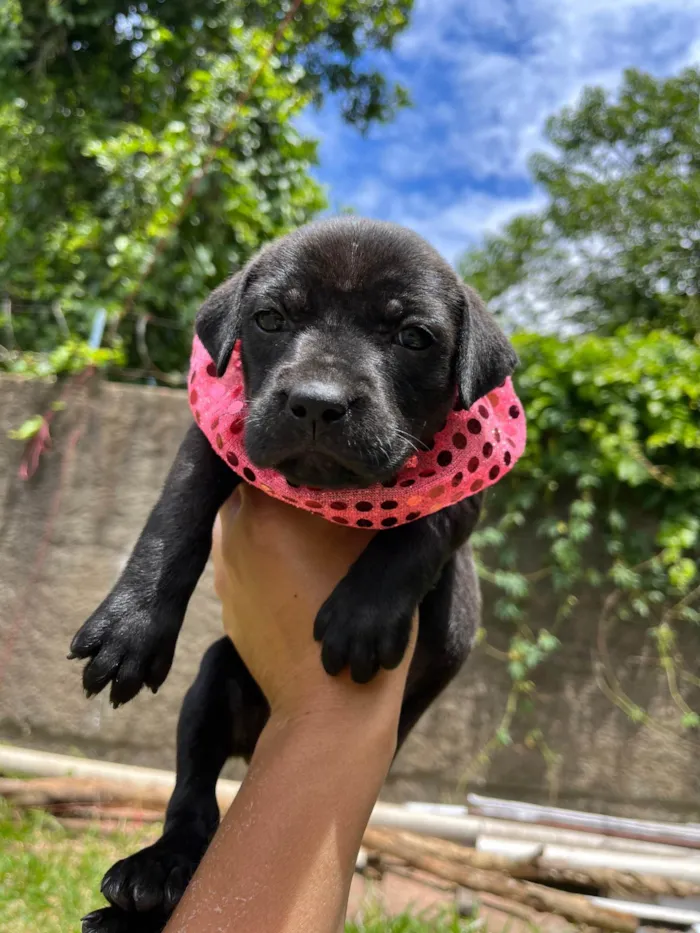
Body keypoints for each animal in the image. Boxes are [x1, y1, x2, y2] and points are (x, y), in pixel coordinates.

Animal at [74, 220, 516, 932]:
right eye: (270, 319)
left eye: (413, 337)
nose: (316, 403)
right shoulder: (215, 440)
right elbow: (177, 513)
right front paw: (130, 628)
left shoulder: (465, 491)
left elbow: (421, 528)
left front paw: (361, 617)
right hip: (212, 684)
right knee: (193, 797)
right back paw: (153, 876)